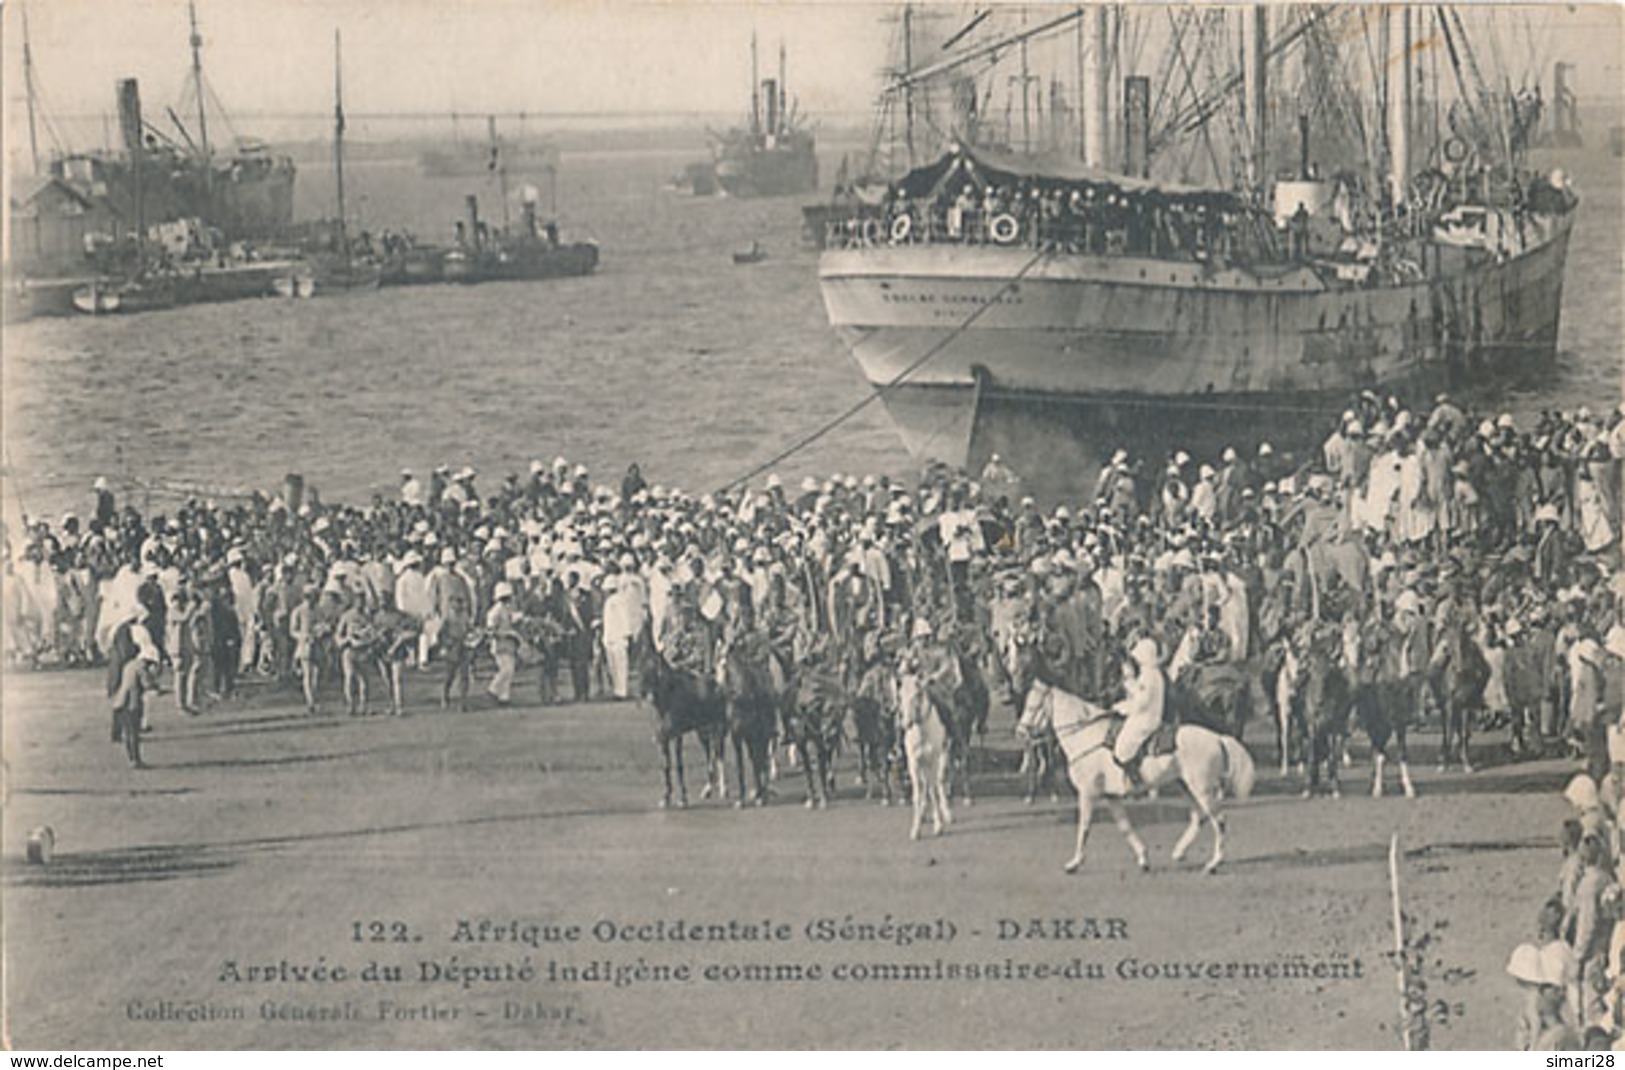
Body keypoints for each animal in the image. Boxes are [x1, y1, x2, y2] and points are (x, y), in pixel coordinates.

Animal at [903, 669, 949, 839]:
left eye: (918, 694)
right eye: (900, 695)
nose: (906, 723)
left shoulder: (933, 761)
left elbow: (934, 790)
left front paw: (939, 826)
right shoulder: (914, 764)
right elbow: (918, 794)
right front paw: (916, 830)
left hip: (943, 756)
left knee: (938, 782)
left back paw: (946, 814)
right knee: (926, 786)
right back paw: (924, 815)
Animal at [1014, 679, 1254, 871]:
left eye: (1032, 706)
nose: (1020, 732)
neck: (1088, 736)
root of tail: (1218, 738)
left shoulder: (1088, 793)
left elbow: (1085, 826)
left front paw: (1074, 863)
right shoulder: (1111, 796)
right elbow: (1125, 827)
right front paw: (1143, 858)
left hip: (1201, 788)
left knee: (1219, 820)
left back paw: (1214, 863)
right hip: (1186, 786)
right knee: (1199, 817)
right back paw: (1179, 852)